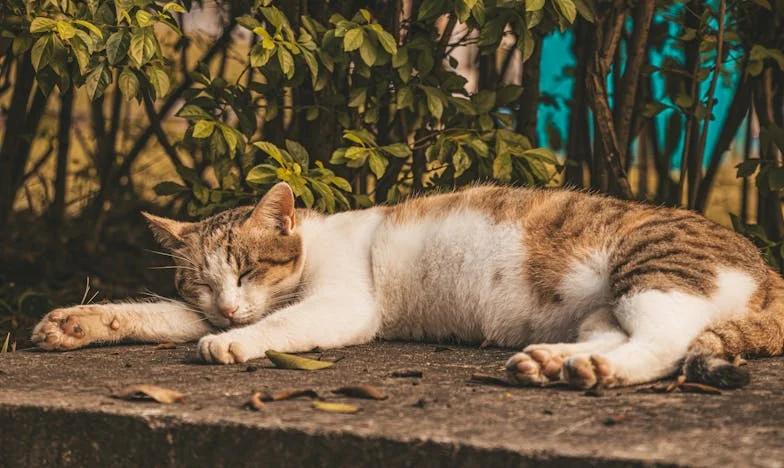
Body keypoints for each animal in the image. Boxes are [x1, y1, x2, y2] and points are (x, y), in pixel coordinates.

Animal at [30, 182, 784, 388]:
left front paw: (233, 344)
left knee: (663, 341)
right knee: (617, 334)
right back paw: (553, 362)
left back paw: (594, 371)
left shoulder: (340, 304)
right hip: (605, 307)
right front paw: (78, 321)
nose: (230, 305)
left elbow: (279, 324)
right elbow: (158, 315)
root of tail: (768, 270)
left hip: (652, 268)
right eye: (205, 285)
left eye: (246, 269)